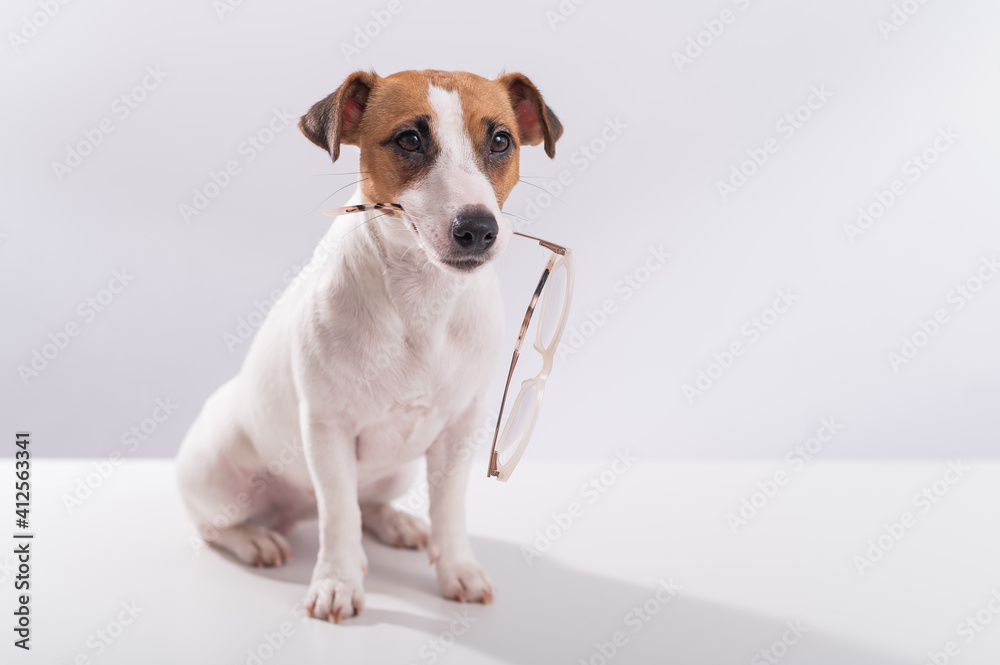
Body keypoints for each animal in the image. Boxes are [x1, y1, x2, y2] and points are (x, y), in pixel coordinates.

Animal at [178, 68, 564, 624]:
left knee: (369, 502)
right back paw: (253, 540)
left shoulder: (459, 431)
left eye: (500, 141)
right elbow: (339, 515)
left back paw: (393, 523)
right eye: (409, 139)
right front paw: (337, 582)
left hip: (396, 472)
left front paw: (458, 569)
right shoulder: (327, 430)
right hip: (215, 472)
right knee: (217, 526)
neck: (422, 299)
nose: (477, 228)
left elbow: (449, 508)